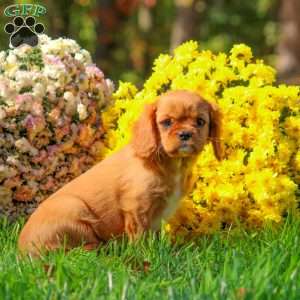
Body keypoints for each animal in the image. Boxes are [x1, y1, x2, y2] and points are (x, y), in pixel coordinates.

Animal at [17, 89, 221, 255]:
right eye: (167, 122)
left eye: (200, 122)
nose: (185, 134)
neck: (172, 163)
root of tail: (23, 250)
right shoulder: (137, 207)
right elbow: (140, 236)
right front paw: (145, 255)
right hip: (75, 208)